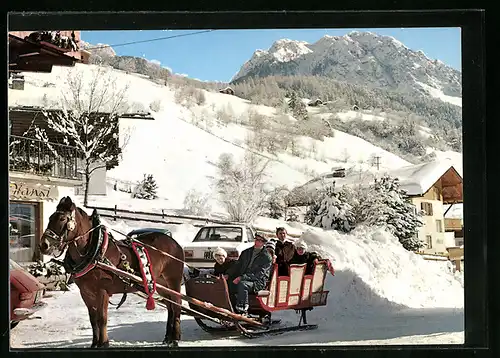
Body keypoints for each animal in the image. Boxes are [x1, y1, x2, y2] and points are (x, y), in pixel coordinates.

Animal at [38, 197, 184, 348]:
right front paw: (95, 344)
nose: (43, 245)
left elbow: (102, 318)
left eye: (62, 218)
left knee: (177, 305)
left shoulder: (102, 290)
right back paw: (168, 337)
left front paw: (103, 343)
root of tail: (175, 243)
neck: (95, 252)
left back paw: (175, 338)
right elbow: (93, 319)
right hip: (160, 283)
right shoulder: (85, 292)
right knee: (170, 306)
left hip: (173, 281)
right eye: (50, 218)